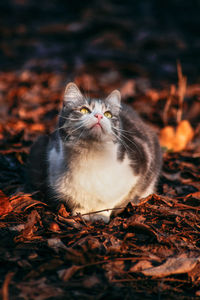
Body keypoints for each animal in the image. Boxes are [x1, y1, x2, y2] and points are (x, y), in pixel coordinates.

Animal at [27, 82, 162, 223]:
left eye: (108, 114)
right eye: (84, 110)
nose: (99, 116)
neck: (91, 157)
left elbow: (109, 202)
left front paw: (101, 215)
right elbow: (77, 203)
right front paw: (81, 214)